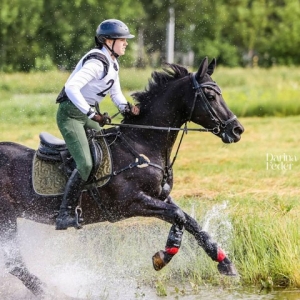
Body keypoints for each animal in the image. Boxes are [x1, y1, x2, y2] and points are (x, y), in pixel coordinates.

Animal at [0, 57, 244, 296]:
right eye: (211, 96)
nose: (237, 130)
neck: (141, 143)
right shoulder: (131, 202)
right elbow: (178, 216)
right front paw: (163, 257)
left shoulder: (161, 196)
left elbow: (190, 222)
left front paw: (224, 262)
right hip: (6, 219)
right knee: (14, 262)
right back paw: (48, 290)